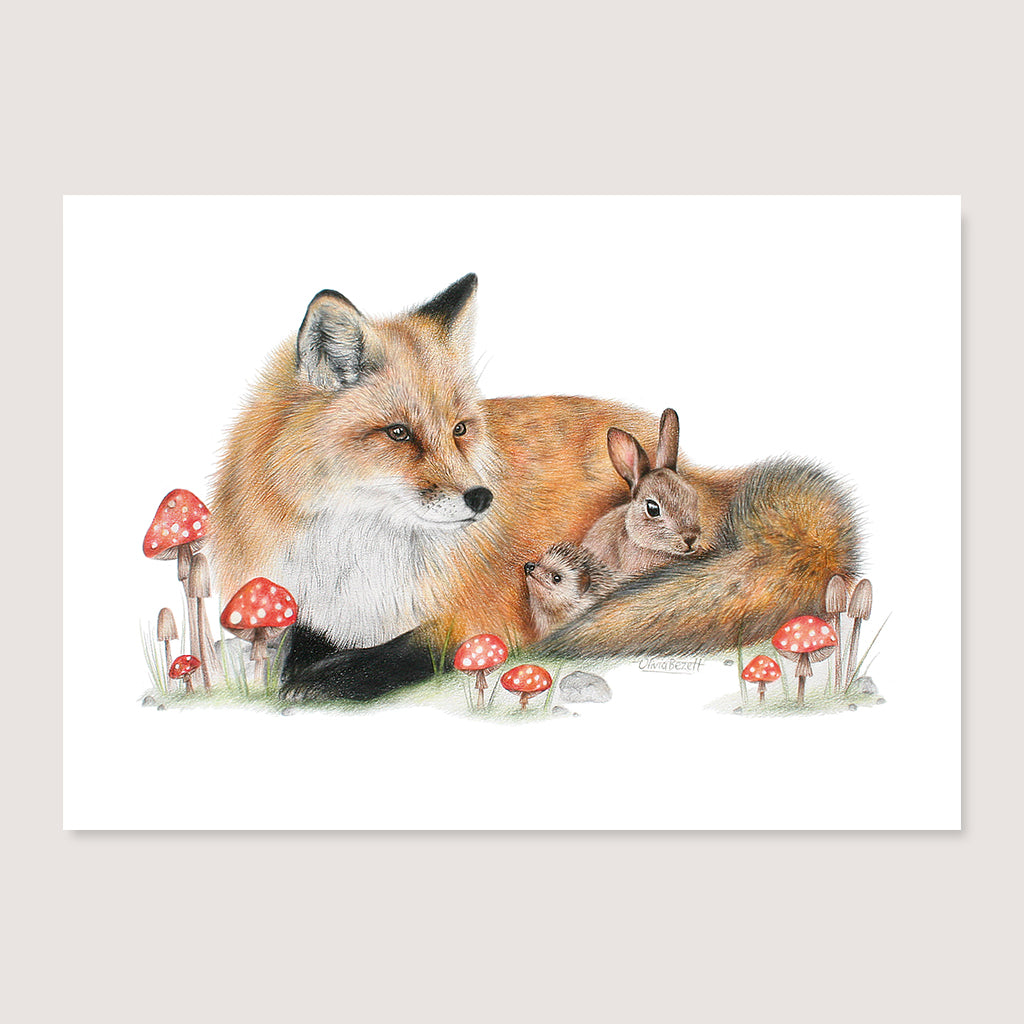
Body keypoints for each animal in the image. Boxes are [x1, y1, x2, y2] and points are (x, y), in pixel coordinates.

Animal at [210, 274, 861, 700]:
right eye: (399, 433)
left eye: (460, 429)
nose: (481, 498)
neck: (359, 556)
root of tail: (706, 476)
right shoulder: (312, 601)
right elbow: (299, 640)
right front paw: (291, 670)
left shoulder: (479, 618)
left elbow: (407, 653)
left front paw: (328, 681)